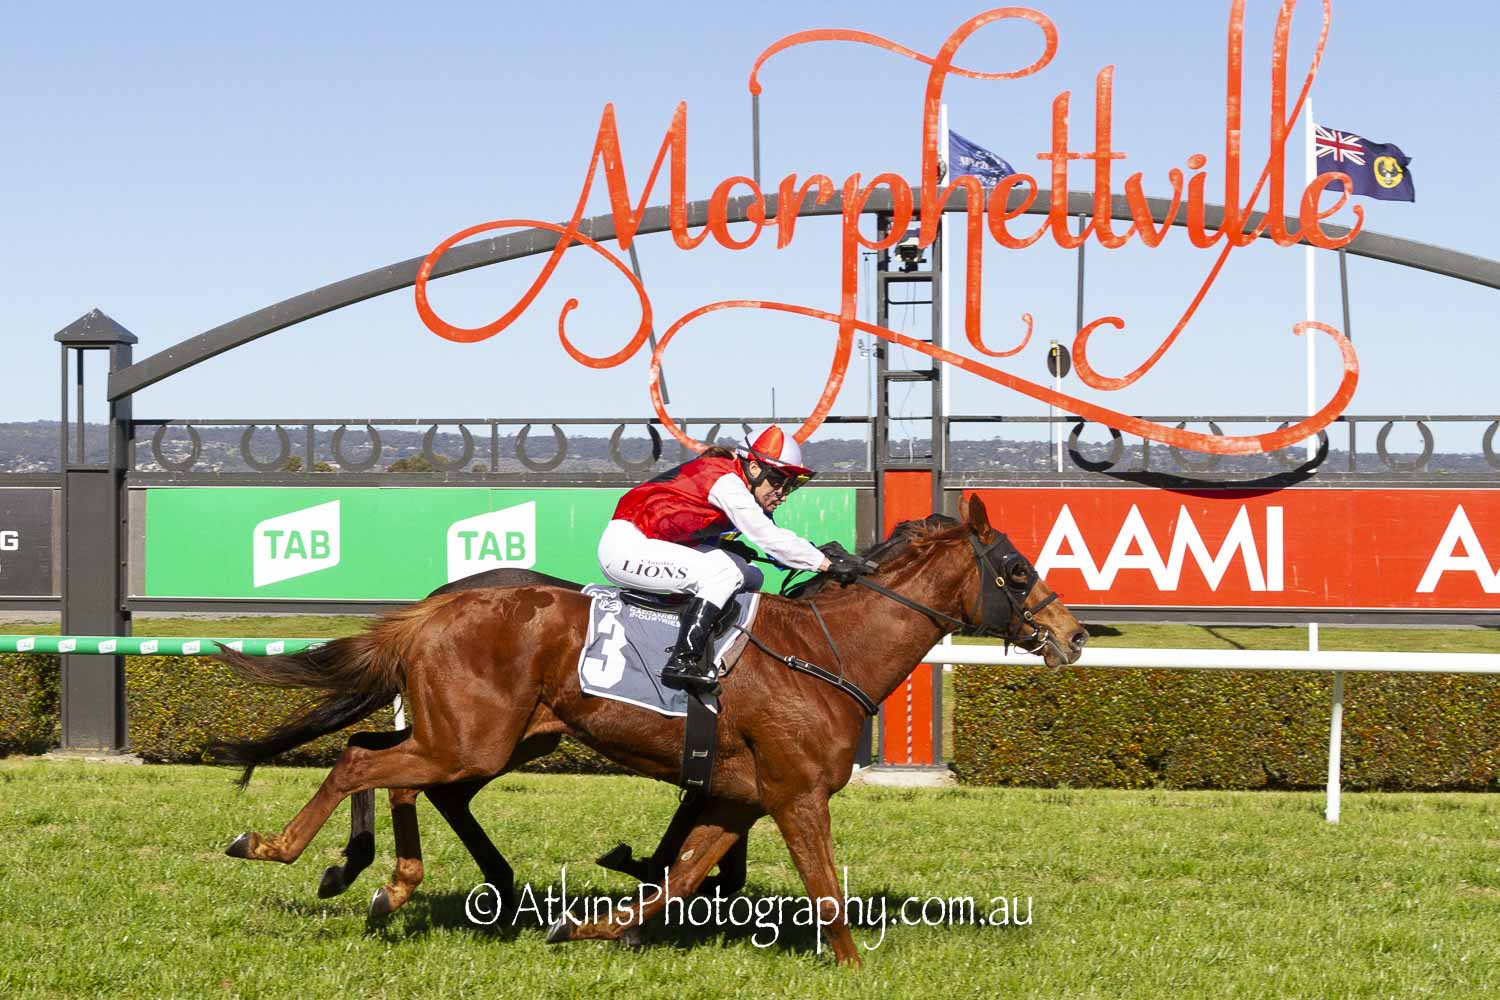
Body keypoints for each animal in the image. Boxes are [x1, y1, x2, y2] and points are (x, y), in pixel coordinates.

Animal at [212, 494, 1085, 965]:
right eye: (1016, 572)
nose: (1073, 636)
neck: (824, 652)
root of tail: (432, 609)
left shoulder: (738, 797)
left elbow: (680, 878)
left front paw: (584, 928)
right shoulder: (797, 792)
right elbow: (826, 892)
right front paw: (852, 969)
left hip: (494, 738)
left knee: (381, 760)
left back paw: (391, 882)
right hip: (472, 739)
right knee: (363, 766)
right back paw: (280, 849)